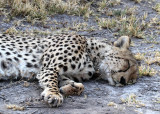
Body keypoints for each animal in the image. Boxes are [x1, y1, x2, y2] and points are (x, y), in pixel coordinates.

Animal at [0, 33, 138, 107]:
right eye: (127, 64)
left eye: (132, 81)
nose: (123, 81)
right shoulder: (49, 67)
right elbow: (51, 80)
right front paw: (54, 94)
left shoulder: (58, 72)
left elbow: (74, 83)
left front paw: (71, 87)